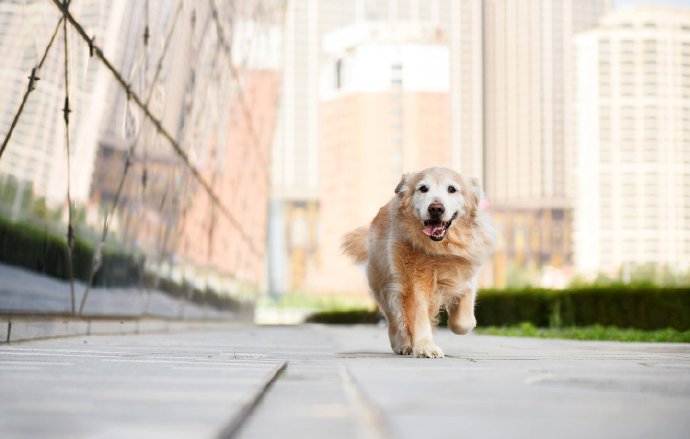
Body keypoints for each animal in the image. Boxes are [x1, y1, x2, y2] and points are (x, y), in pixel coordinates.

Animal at [340, 168, 492, 358]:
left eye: (452, 189)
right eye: (423, 188)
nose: (436, 208)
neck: (438, 249)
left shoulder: (466, 273)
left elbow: (464, 321)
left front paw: (457, 323)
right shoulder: (414, 281)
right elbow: (418, 313)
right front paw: (426, 347)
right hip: (384, 287)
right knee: (394, 320)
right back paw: (403, 344)